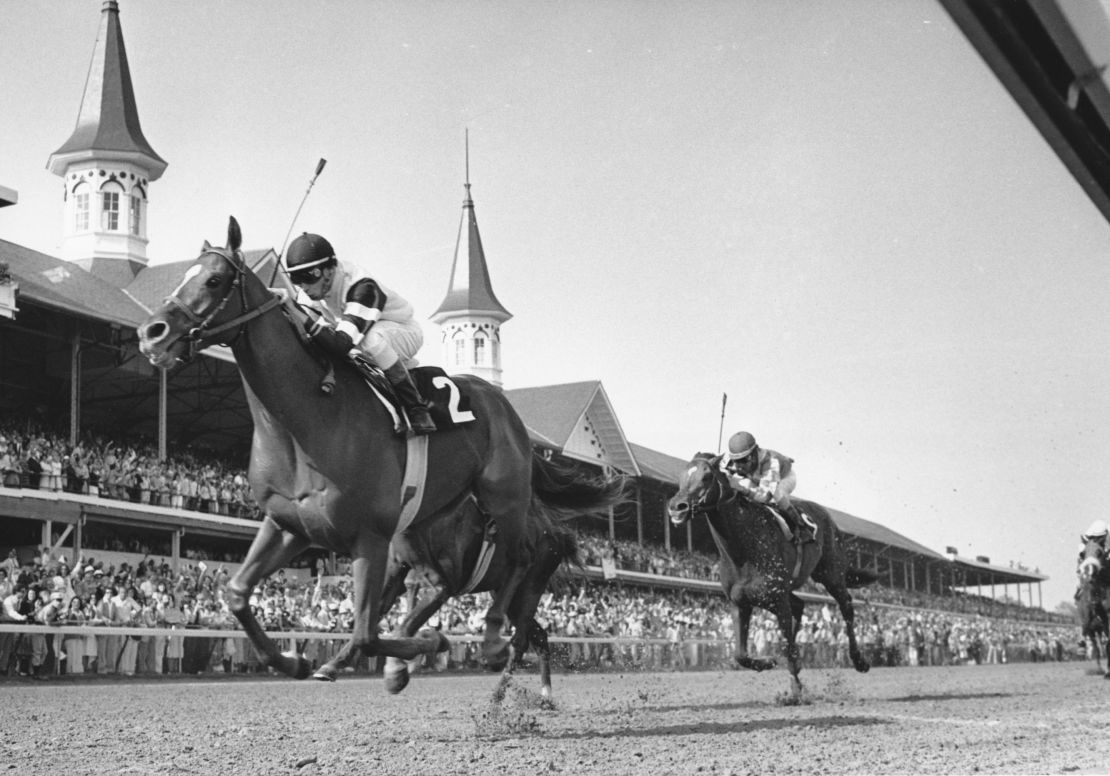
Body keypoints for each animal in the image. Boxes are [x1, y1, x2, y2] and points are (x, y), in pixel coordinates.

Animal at [135, 218, 626, 683]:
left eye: (215, 280)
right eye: (184, 275)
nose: (152, 332)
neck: (306, 420)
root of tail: (505, 407)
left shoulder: (370, 539)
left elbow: (367, 632)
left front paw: (423, 649)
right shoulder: (290, 525)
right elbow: (238, 595)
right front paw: (294, 660)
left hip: (504, 495)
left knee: (521, 562)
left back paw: (490, 640)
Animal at [666, 452, 874, 697]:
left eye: (706, 476)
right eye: (682, 475)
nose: (676, 508)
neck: (742, 553)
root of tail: (828, 517)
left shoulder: (778, 601)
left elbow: (788, 648)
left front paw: (795, 691)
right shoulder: (741, 603)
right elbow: (741, 655)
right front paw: (767, 662)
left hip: (830, 574)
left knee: (846, 606)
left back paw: (859, 660)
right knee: (800, 606)